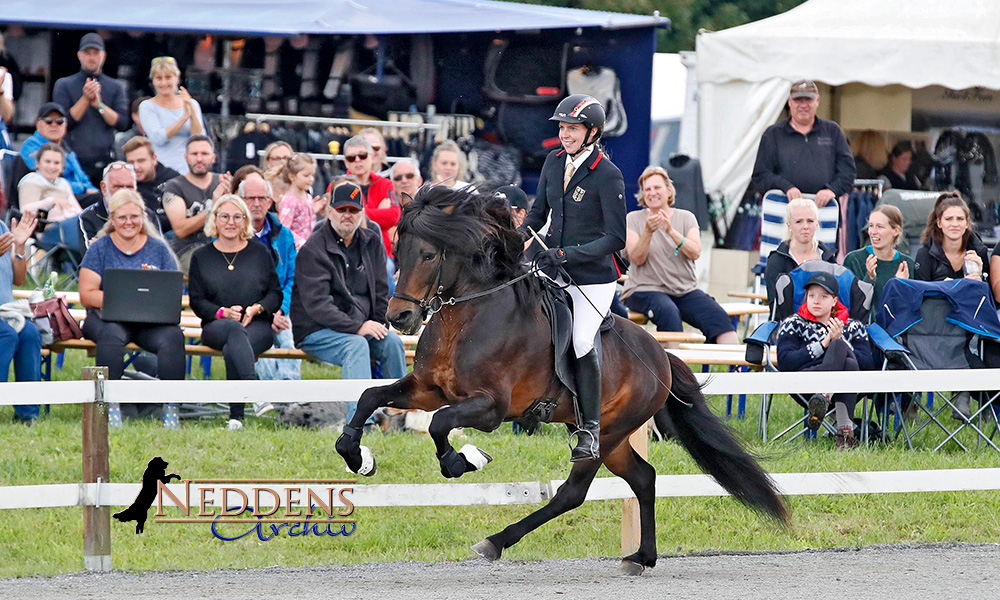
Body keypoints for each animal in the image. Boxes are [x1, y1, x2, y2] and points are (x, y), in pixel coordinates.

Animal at [336, 185, 788, 576]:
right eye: (398, 250)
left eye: (429, 254)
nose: (399, 318)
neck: (467, 318)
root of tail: (661, 355)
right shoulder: (428, 389)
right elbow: (370, 395)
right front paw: (357, 457)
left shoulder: (491, 408)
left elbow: (439, 425)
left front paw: (463, 460)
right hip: (612, 438)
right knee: (644, 477)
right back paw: (641, 557)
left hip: (605, 433)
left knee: (573, 492)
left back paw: (496, 541)